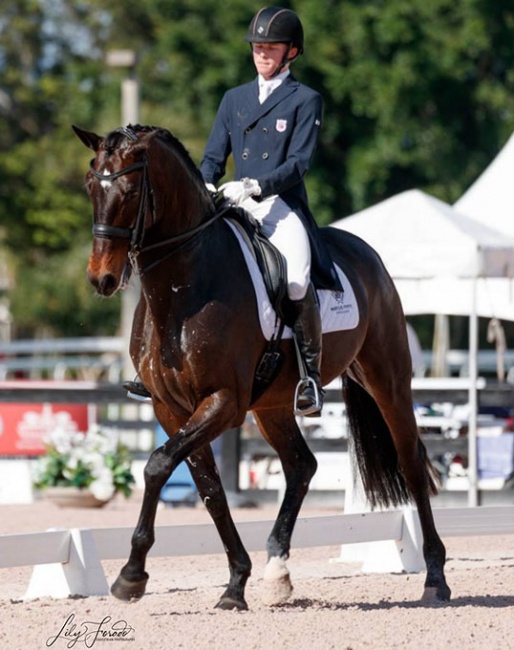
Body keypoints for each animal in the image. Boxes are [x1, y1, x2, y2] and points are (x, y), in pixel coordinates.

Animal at [72, 123, 448, 608]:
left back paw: (435, 578)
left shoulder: (224, 402)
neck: (183, 287)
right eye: (89, 185)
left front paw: (131, 575)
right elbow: (209, 489)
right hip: (273, 406)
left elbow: (157, 464)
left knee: (412, 464)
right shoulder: (170, 408)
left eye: (132, 189)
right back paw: (277, 571)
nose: (102, 278)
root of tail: (368, 255)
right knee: (302, 466)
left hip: (389, 380)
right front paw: (236, 582)